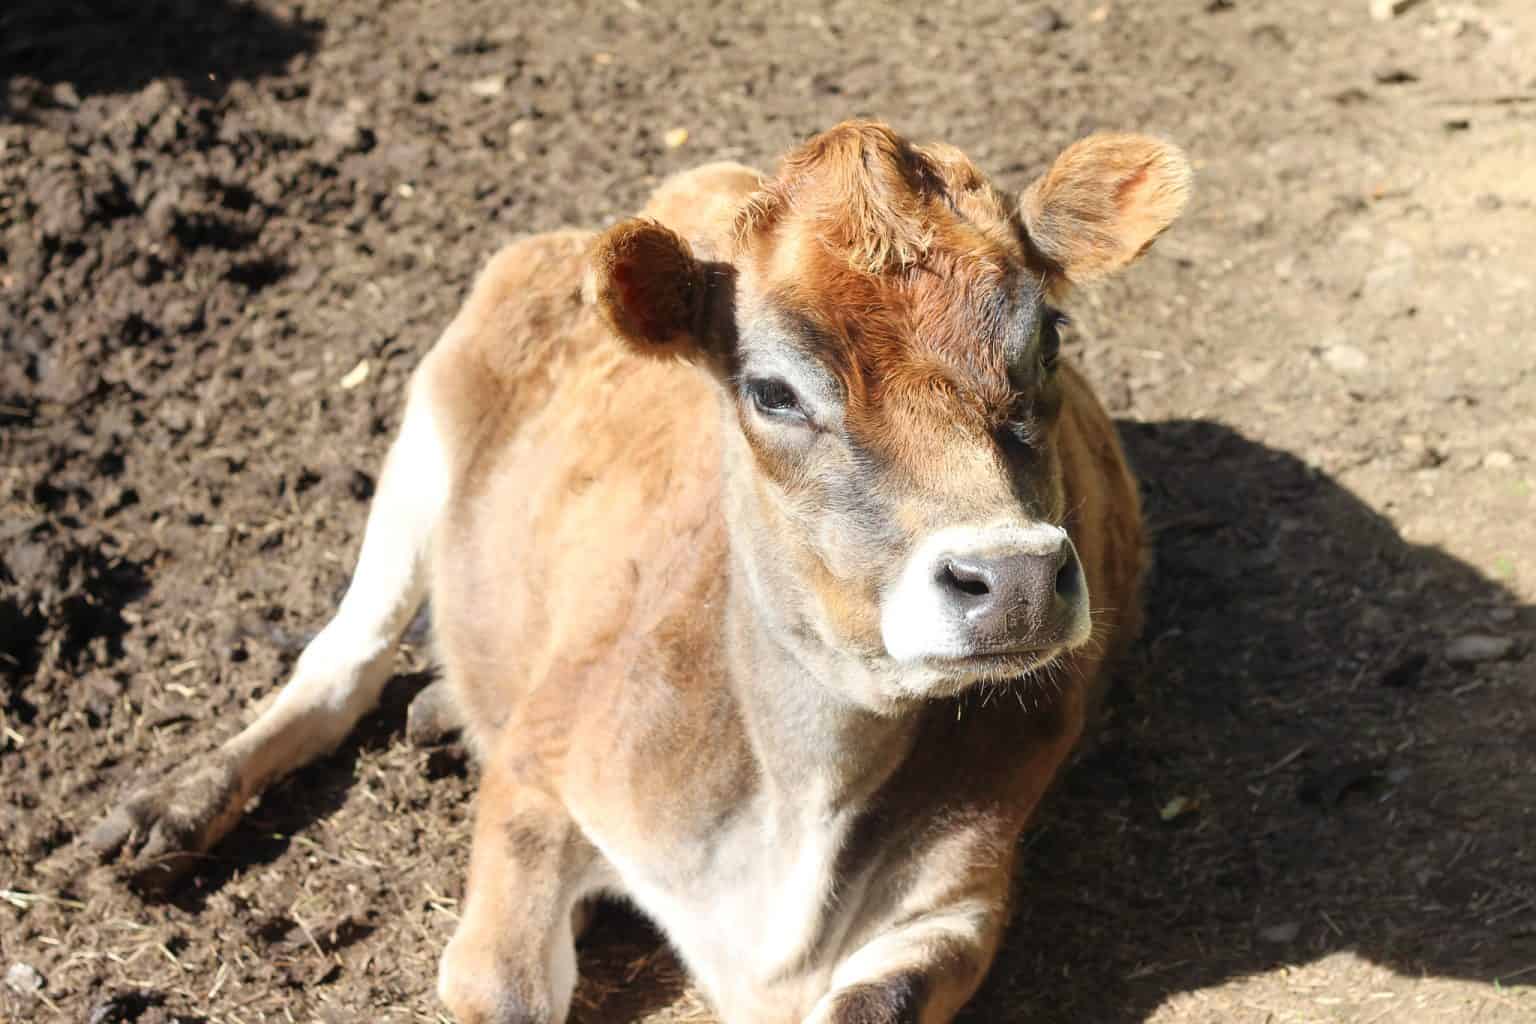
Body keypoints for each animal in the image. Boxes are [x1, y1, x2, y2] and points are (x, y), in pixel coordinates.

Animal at [88, 120, 1190, 1023]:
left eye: (1046, 341)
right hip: (424, 432)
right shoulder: (535, 783)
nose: (1012, 577)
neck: (793, 799)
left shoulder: (958, 903)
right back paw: (169, 811)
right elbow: (505, 983)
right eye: (771, 390)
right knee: (340, 665)